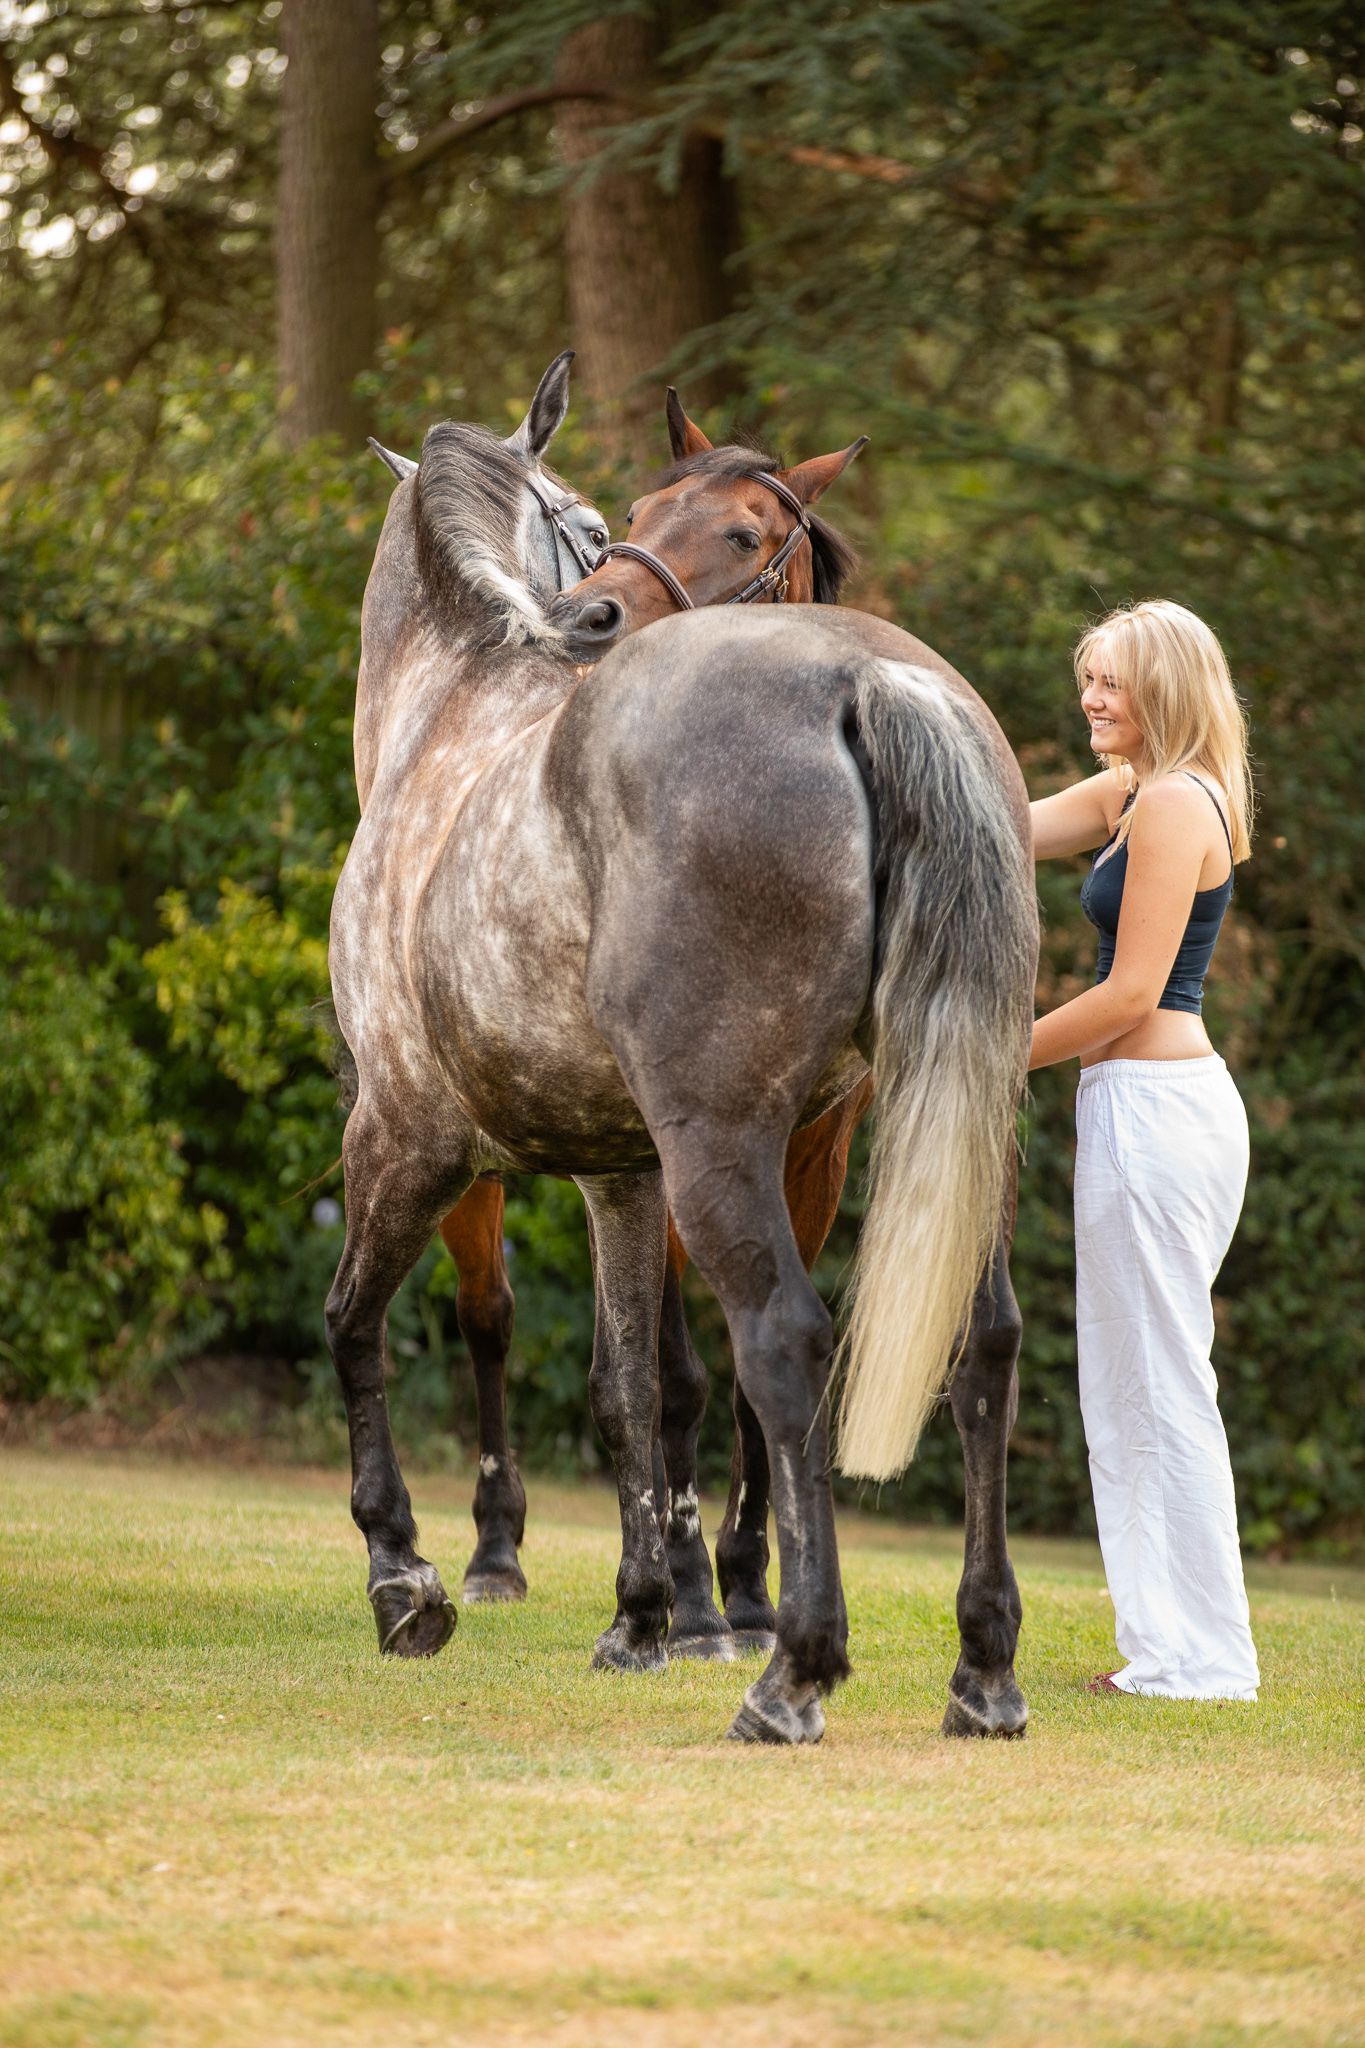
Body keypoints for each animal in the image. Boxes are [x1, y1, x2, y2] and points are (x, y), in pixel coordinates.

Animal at [329, 377, 1038, 1744]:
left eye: (750, 532)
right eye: (621, 517)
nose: (592, 614)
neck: (449, 708)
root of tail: (871, 677)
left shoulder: (403, 1135)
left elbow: (353, 1325)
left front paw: (402, 1573)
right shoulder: (618, 1172)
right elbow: (631, 1386)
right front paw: (646, 1614)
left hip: (717, 1152)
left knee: (788, 1343)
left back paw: (794, 1669)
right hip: (954, 1125)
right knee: (983, 1343)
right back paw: (981, 1668)